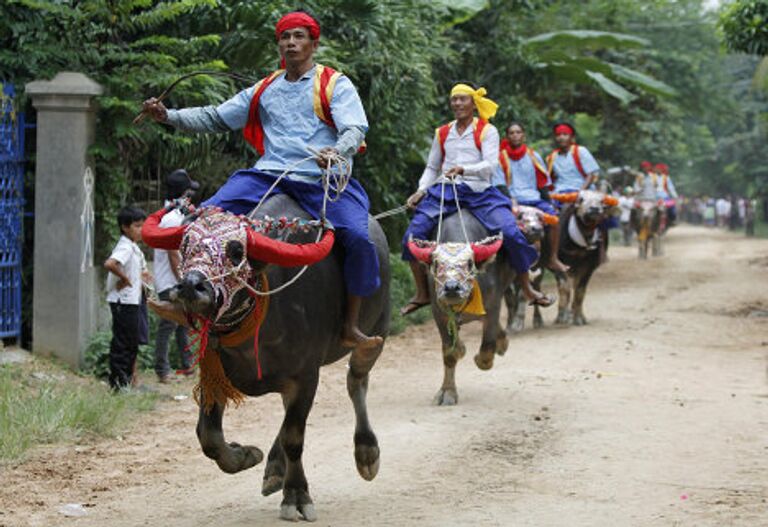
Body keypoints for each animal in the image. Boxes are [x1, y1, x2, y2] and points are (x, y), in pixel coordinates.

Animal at [142, 196, 390, 520]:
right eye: (185, 246)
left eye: (236, 252)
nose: (190, 286)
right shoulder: (215, 372)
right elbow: (208, 436)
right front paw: (245, 455)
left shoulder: (305, 376)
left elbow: (294, 438)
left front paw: (296, 495)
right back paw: (274, 466)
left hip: (377, 332)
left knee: (356, 382)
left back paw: (366, 452)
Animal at [408, 212, 510, 406]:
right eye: (437, 264)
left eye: (469, 263)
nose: (452, 288)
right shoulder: (439, 314)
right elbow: (450, 352)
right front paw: (447, 391)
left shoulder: (493, 306)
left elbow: (486, 350)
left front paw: (480, 357)